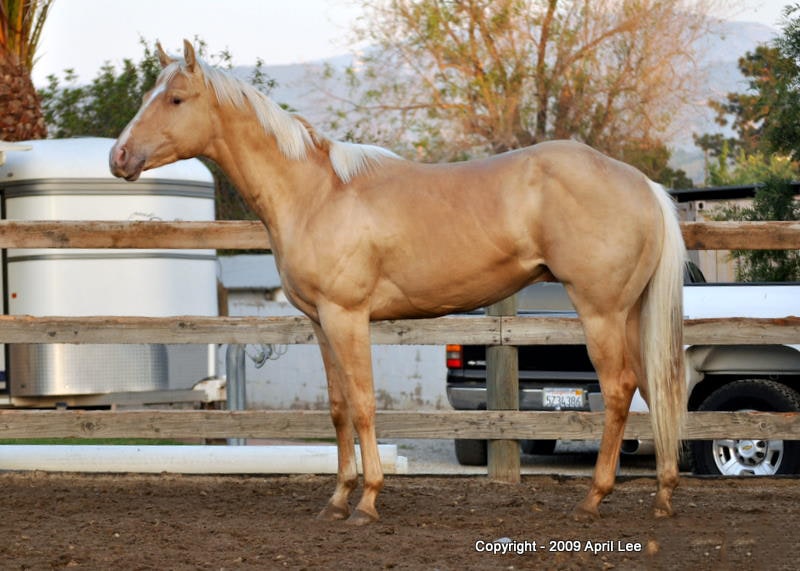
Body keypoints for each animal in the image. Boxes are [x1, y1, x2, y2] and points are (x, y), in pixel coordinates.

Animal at [111, 39, 688, 524]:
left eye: (177, 99)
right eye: (147, 96)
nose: (119, 157)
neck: (316, 192)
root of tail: (642, 184)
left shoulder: (347, 317)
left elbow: (365, 405)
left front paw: (367, 500)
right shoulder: (320, 323)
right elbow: (339, 408)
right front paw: (337, 498)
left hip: (601, 313)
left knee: (619, 390)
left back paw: (594, 497)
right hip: (629, 314)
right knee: (653, 386)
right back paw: (662, 495)